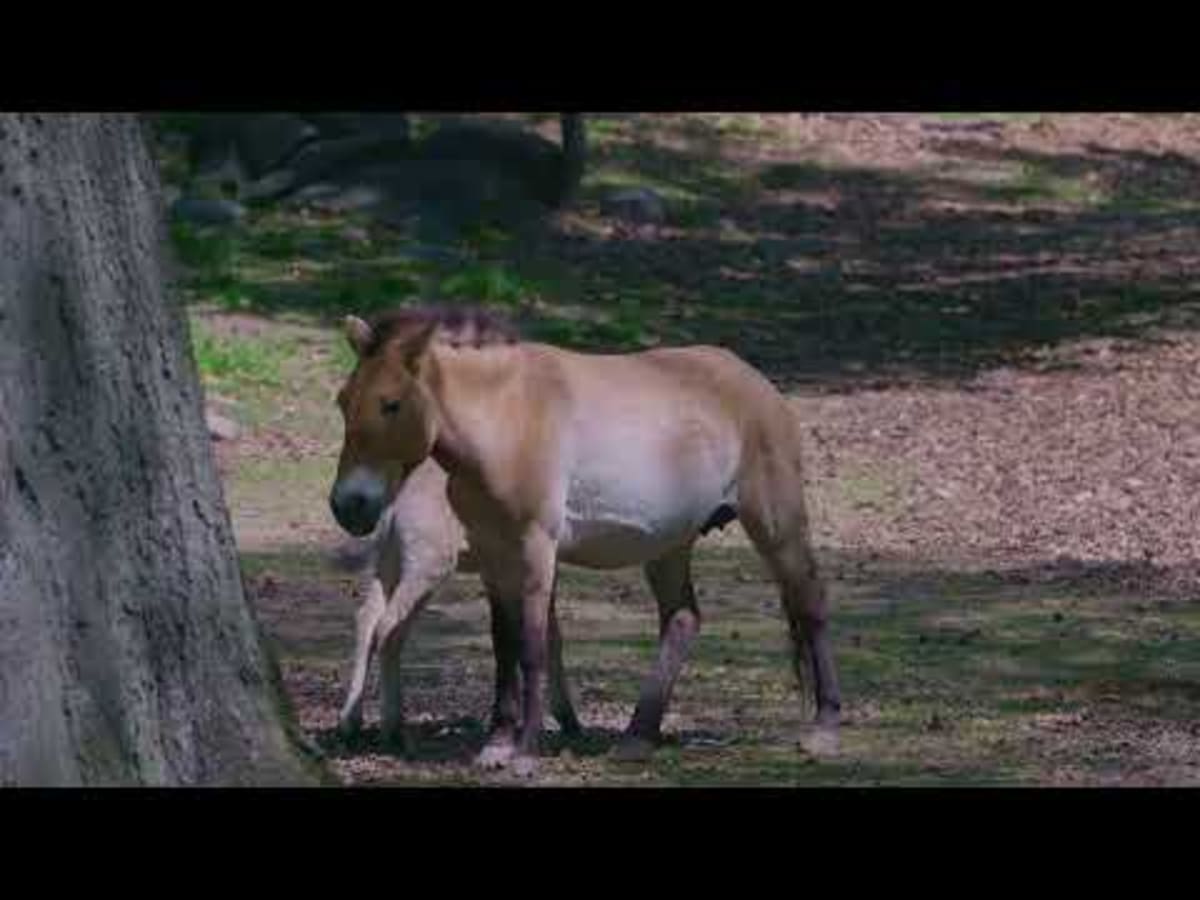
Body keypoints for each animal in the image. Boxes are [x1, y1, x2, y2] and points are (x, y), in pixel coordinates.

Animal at [335, 455, 581, 752]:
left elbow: (541, 633)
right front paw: (564, 720)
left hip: (388, 555)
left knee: (368, 617)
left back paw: (350, 724)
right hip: (428, 559)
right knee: (389, 625)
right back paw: (393, 732)